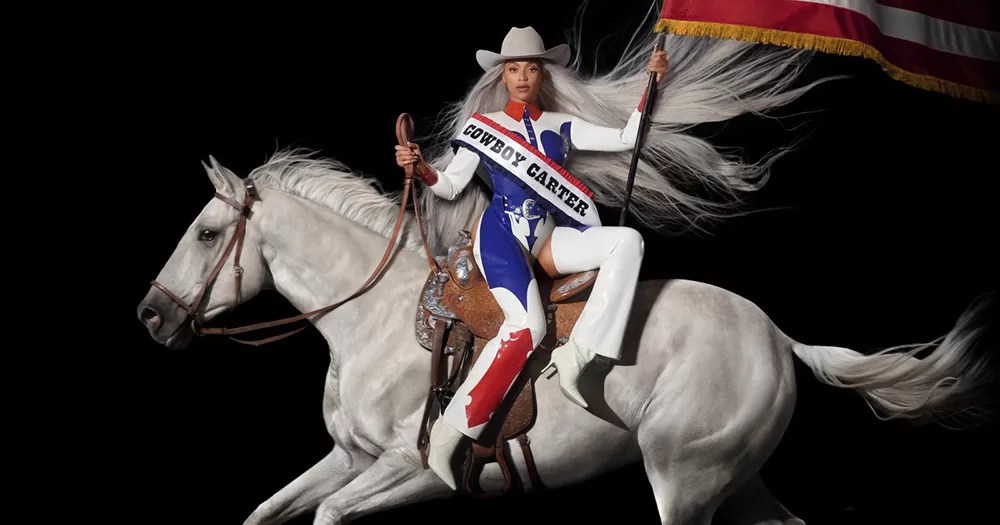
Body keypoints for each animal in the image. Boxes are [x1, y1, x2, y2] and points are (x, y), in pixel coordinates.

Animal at [139, 150, 992, 524]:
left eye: (207, 232)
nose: (149, 314)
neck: (375, 322)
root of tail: (777, 337)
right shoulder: (346, 459)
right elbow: (271, 510)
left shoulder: (412, 470)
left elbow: (329, 514)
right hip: (737, 480)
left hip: (686, 484)